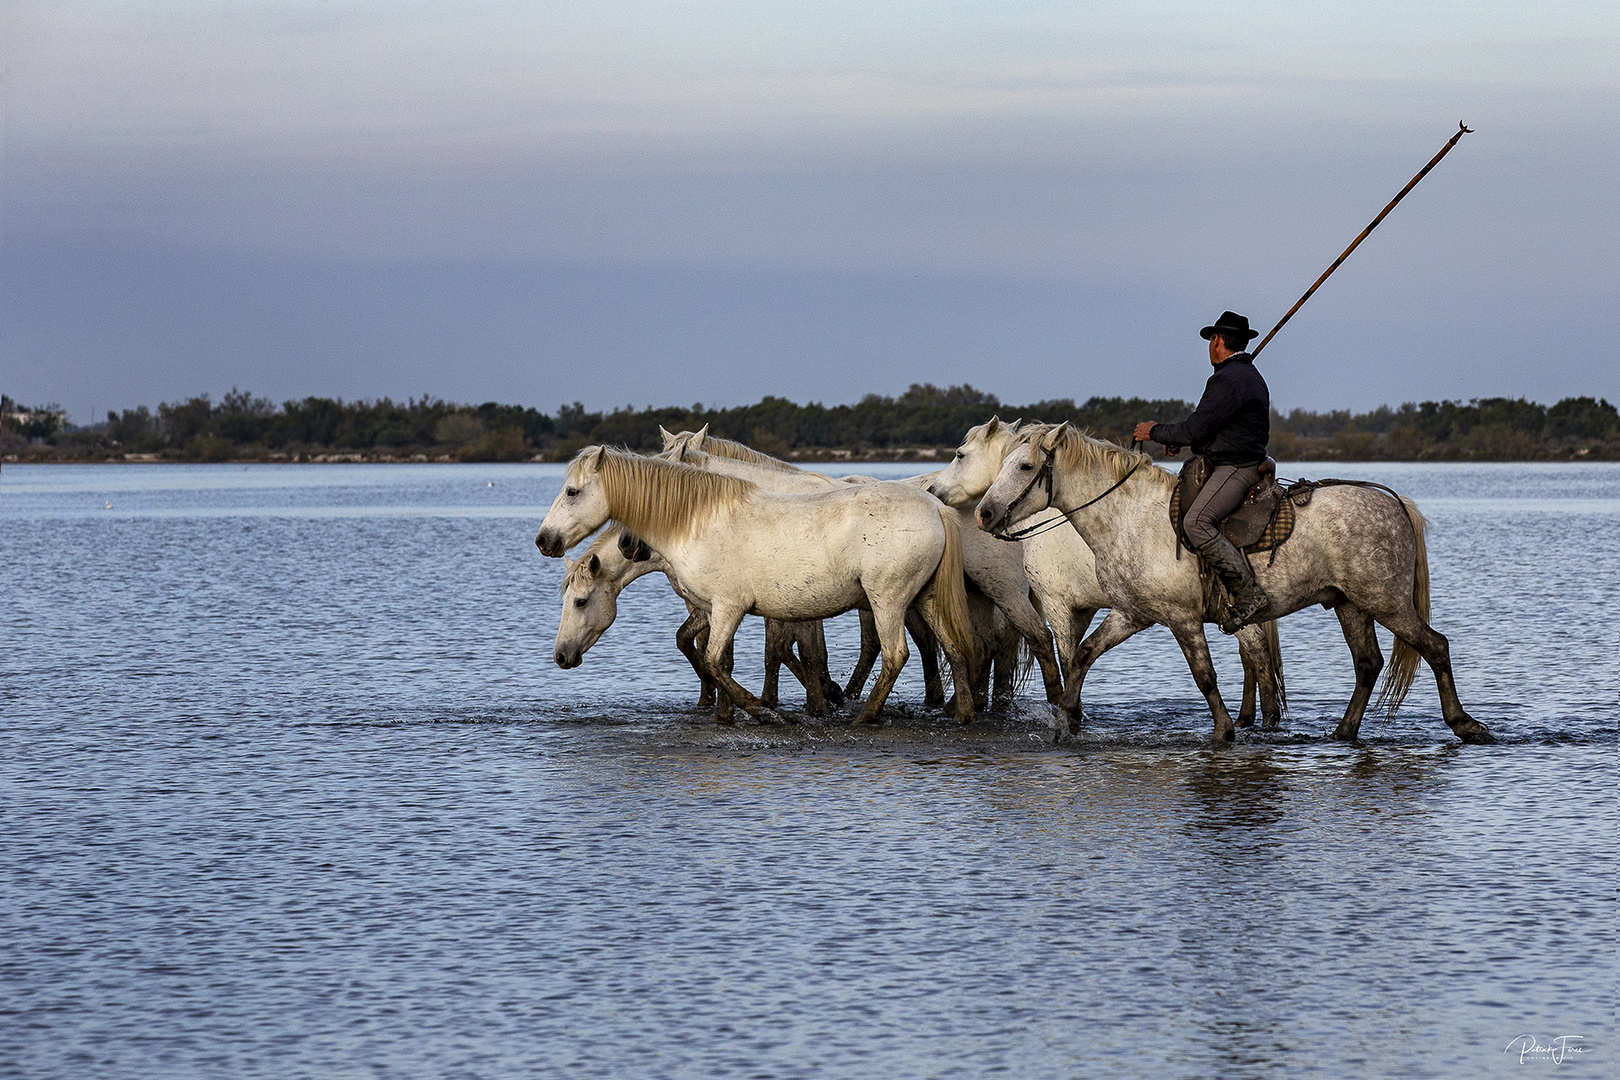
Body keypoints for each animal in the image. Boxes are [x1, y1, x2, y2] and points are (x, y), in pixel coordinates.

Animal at [537, 446, 978, 725]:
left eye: (580, 602)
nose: (545, 540)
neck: (695, 521)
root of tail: (935, 506)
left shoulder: (728, 607)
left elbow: (717, 661)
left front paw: (766, 712)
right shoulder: (712, 610)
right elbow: (718, 660)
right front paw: (726, 714)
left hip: (888, 601)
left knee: (895, 654)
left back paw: (866, 716)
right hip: (927, 598)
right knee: (953, 647)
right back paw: (963, 714)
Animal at [933, 417, 1283, 731]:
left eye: (960, 455)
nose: (935, 490)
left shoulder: (1057, 604)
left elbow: (1065, 658)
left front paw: (1069, 712)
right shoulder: (1085, 609)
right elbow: (1078, 656)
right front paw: (1072, 709)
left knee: (1251, 651)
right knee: (1253, 649)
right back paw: (1253, 717)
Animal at [972, 420, 1490, 744]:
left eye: (1024, 466)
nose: (984, 514)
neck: (1128, 517)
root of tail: (1394, 502)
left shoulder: (1181, 619)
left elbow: (1204, 675)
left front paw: (1223, 731)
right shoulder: (1133, 614)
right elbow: (1082, 655)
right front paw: (1065, 722)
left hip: (1386, 601)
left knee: (1435, 646)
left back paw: (1464, 725)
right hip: (1350, 604)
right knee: (1367, 664)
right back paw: (1344, 732)